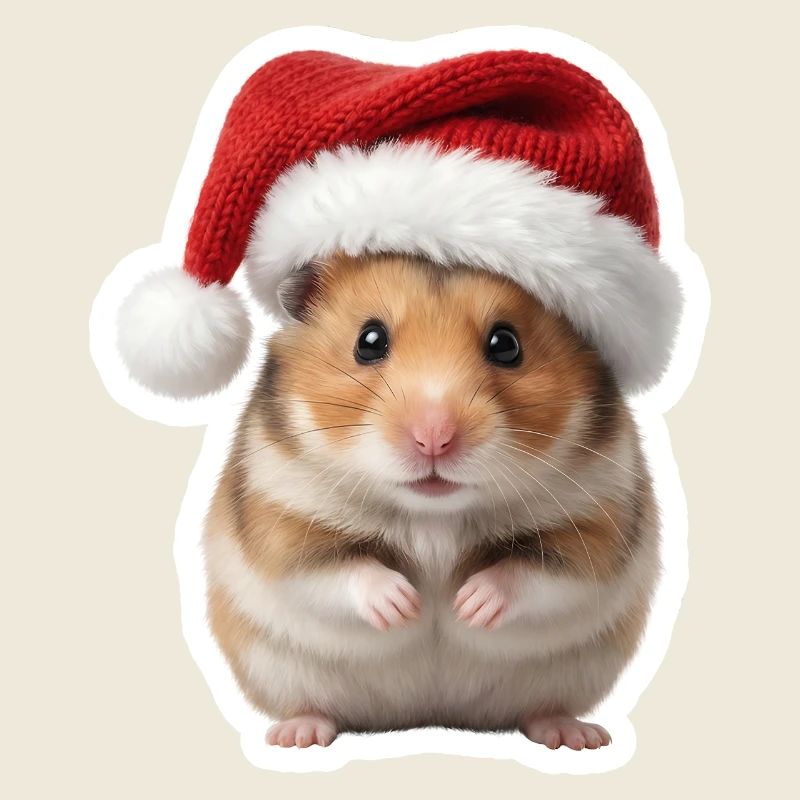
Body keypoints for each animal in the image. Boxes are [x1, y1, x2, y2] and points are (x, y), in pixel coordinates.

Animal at [203, 253, 660, 750]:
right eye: (369, 341)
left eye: (506, 344)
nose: (434, 439)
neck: (434, 516)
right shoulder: (282, 518)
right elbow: (340, 569)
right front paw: (406, 606)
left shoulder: (596, 523)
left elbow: (533, 571)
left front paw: (468, 606)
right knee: (310, 704)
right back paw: (297, 735)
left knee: (543, 707)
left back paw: (575, 735)